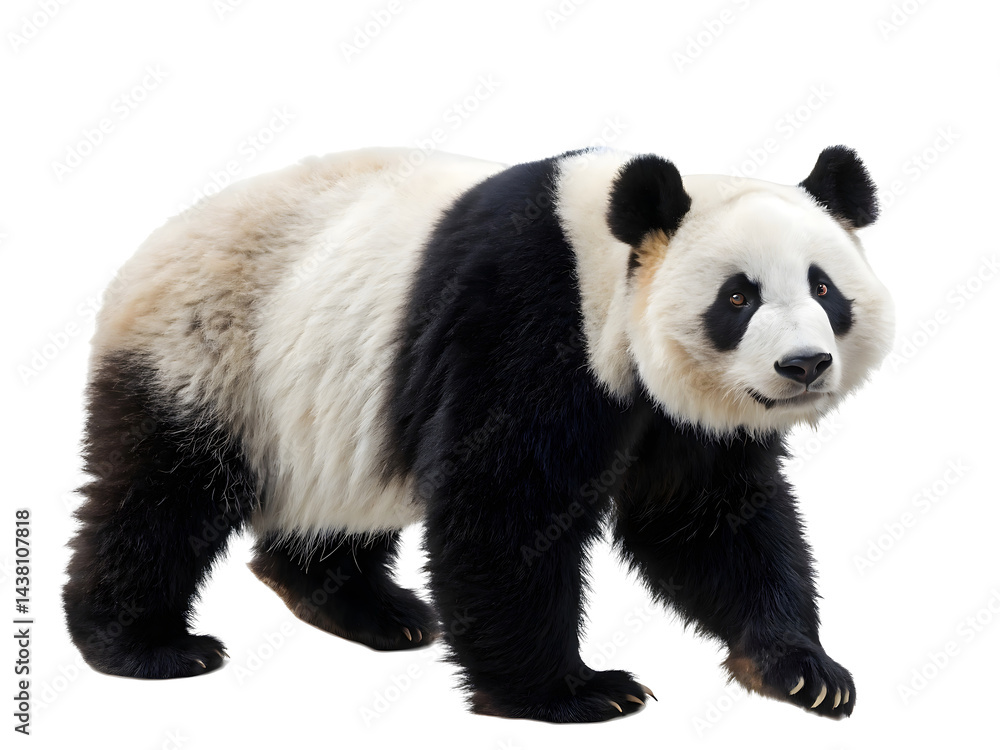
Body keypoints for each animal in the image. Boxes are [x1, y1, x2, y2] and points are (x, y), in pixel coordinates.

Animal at [63, 144, 893, 723]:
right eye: (737, 298)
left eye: (824, 288)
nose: (804, 365)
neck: (606, 262)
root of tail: (141, 253)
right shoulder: (527, 320)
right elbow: (506, 507)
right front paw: (574, 694)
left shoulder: (679, 417)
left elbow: (705, 518)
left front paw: (803, 671)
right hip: (210, 348)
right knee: (162, 494)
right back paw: (146, 645)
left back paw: (373, 611)